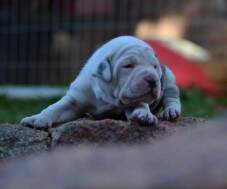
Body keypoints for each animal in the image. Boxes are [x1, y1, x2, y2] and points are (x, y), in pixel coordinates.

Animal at [21, 36, 181, 127]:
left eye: (154, 67)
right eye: (128, 65)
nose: (152, 79)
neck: (110, 97)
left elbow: (141, 105)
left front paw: (144, 115)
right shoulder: (75, 99)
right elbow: (55, 108)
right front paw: (37, 119)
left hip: (169, 77)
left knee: (172, 96)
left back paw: (170, 111)